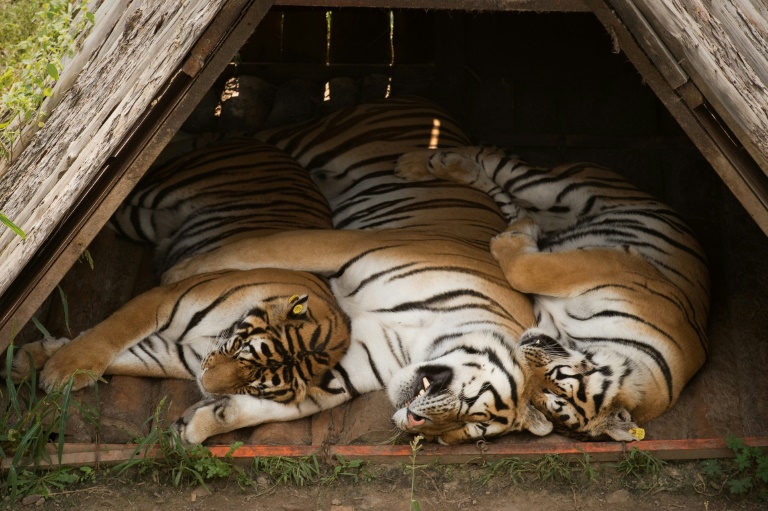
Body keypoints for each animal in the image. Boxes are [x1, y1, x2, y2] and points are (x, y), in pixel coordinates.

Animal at [12, 140, 352, 408]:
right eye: (242, 352)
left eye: (258, 388)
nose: (208, 387)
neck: (213, 337)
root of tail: (267, 146)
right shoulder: (164, 297)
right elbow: (112, 333)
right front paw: (60, 369)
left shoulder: (177, 354)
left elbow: (128, 359)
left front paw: (32, 361)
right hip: (153, 190)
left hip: (142, 221)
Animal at [162, 98, 548, 446]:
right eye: (472, 408)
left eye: (460, 432)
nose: (414, 423)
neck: (419, 340)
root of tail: (441, 111)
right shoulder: (345, 245)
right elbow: (253, 250)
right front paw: (177, 273)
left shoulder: (348, 366)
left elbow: (285, 405)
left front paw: (199, 425)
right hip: (313, 139)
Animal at [392, 144, 712, 440]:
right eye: (558, 379)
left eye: (548, 396)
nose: (526, 351)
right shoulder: (611, 266)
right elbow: (526, 271)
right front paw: (505, 242)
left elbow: (523, 266)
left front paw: (511, 237)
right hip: (552, 190)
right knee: (493, 160)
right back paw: (418, 162)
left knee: (503, 192)